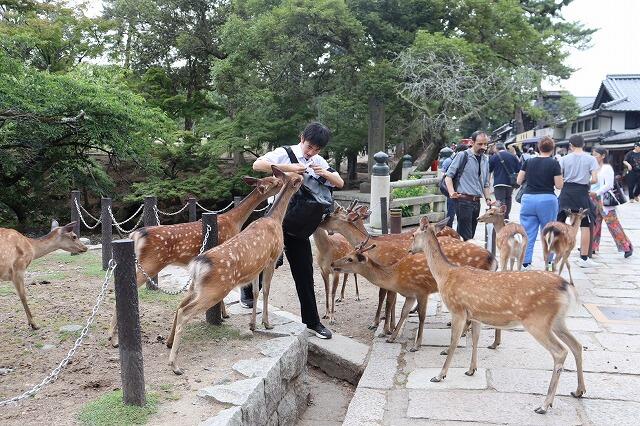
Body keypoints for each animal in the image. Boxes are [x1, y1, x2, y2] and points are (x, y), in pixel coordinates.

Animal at [107, 175, 283, 347]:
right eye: (272, 181)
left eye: (270, 177)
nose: (281, 180)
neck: (234, 221)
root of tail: (135, 235)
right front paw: (224, 315)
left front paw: (223, 314)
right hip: (150, 262)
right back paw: (113, 339)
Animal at [166, 166, 303, 374]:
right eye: (298, 178)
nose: (304, 175)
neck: (275, 219)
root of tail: (198, 265)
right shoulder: (272, 259)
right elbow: (266, 291)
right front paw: (267, 323)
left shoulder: (256, 266)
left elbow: (255, 292)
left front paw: (252, 324)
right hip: (215, 289)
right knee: (185, 313)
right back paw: (175, 365)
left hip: (196, 287)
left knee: (180, 305)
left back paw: (169, 345)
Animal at [409, 216, 585, 414]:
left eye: (413, 234)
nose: (409, 250)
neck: (445, 275)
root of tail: (566, 287)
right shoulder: (475, 314)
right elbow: (476, 338)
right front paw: (471, 370)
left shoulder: (458, 310)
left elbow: (454, 342)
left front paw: (440, 375)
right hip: (557, 320)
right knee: (577, 345)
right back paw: (579, 391)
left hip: (537, 321)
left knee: (560, 351)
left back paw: (544, 405)